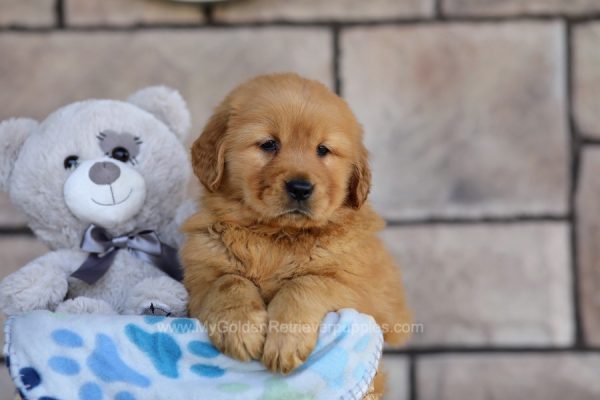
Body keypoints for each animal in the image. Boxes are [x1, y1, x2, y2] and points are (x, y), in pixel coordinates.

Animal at [180, 73, 410, 392]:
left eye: (322, 150)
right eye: (269, 144)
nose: (300, 188)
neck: (278, 235)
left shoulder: (366, 299)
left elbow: (308, 282)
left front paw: (285, 343)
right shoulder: (199, 279)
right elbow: (228, 280)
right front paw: (240, 330)